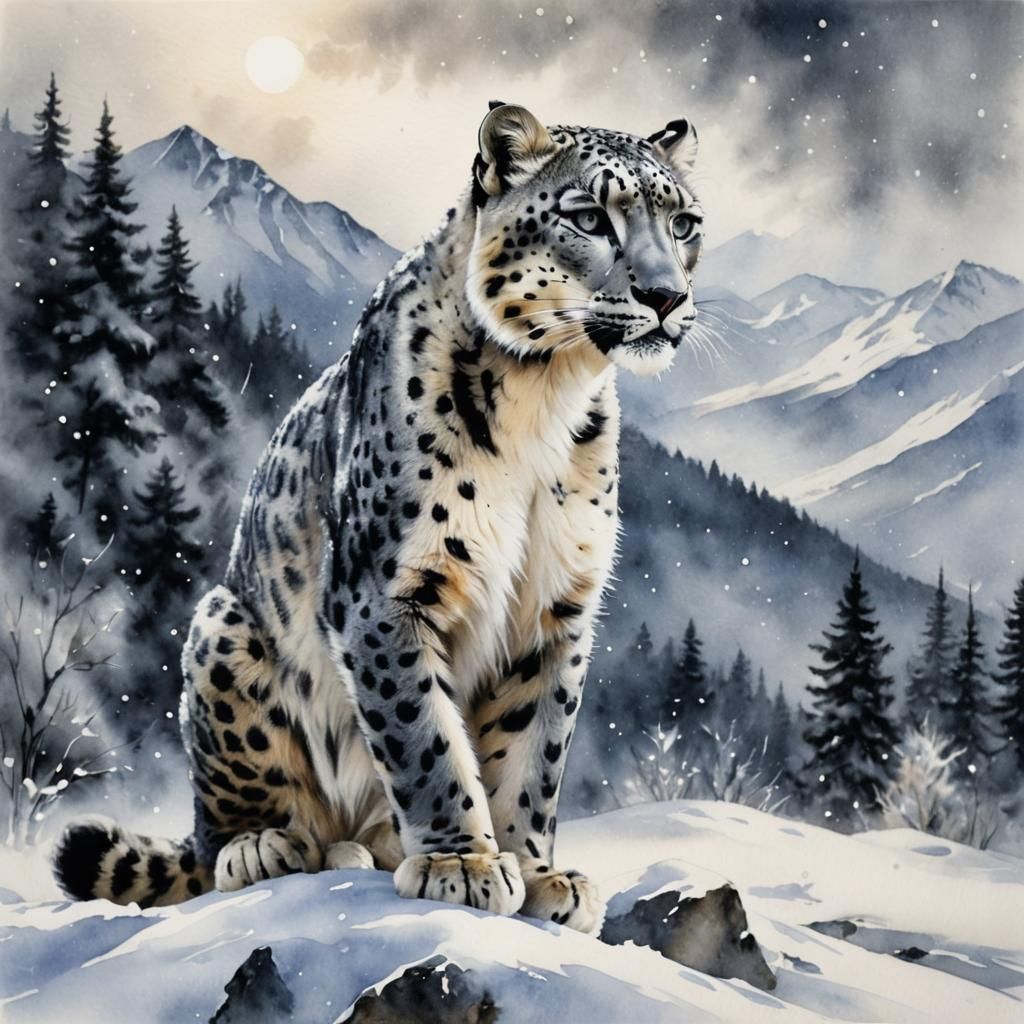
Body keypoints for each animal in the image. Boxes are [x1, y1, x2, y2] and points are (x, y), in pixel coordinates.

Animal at [53, 102, 704, 935]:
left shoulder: (556, 612)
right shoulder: (387, 593)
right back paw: (268, 846)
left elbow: (533, 753)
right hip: (222, 630)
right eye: (589, 216)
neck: (546, 394)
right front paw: (462, 863)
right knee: (220, 831)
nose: (665, 296)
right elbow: (424, 736)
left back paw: (365, 848)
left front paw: (537, 874)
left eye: (683, 223)